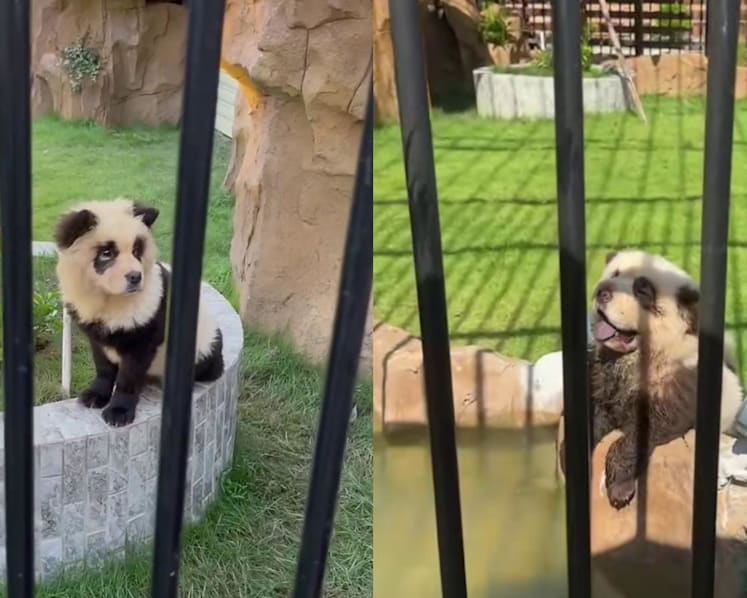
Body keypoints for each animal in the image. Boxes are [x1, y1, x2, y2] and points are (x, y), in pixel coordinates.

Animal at [54, 198, 224, 427]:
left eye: (136, 251)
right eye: (106, 253)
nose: (135, 277)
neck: (111, 299)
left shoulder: (147, 325)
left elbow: (130, 374)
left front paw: (118, 412)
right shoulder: (95, 332)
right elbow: (103, 365)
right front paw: (94, 395)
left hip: (202, 344)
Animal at [560, 249, 744, 510]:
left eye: (642, 290)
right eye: (614, 274)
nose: (602, 291)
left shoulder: (679, 385)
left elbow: (641, 432)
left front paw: (620, 488)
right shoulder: (603, 380)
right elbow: (591, 412)